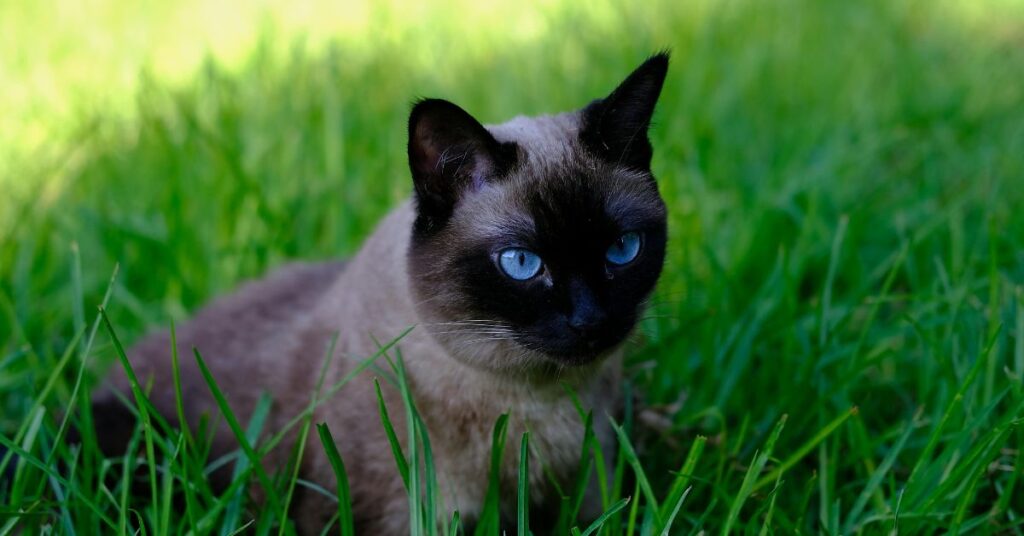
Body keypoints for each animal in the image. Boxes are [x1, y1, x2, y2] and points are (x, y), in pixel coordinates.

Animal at [94, 52, 671, 532]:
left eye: (622, 249)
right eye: (522, 263)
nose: (591, 321)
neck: (536, 405)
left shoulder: (594, 483)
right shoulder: (396, 515)